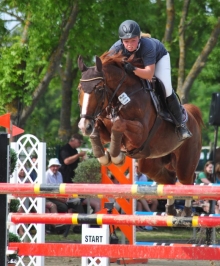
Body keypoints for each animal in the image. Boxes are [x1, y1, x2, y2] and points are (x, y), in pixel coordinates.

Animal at [77, 52, 203, 216]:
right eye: (79, 89)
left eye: (98, 89)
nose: (83, 126)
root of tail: (191, 114)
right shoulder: (104, 130)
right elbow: (99, 130)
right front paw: (104, 155)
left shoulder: (140, 133)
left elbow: (119, 124)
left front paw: (116, 156)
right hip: (150, 163)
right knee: (169, 180)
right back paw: (170, 211)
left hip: (185, 162)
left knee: (187, 179)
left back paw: (186, 213)